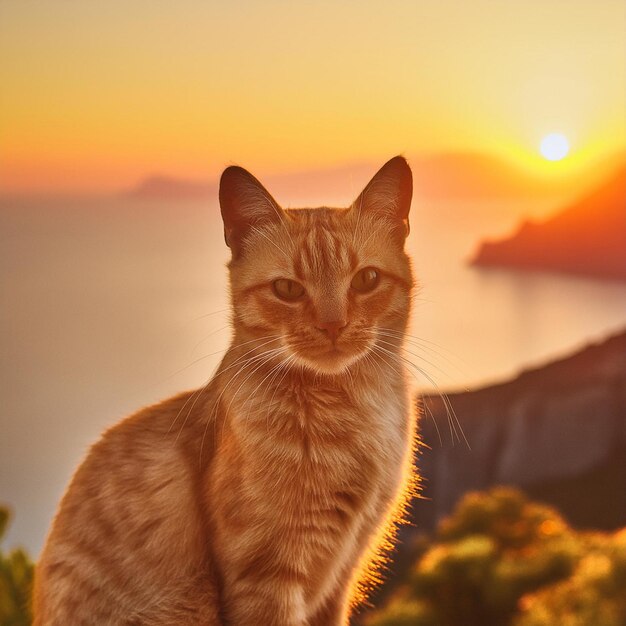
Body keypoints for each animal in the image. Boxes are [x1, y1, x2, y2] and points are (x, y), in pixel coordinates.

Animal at [31, 154, 416, 620]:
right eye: (287, 288)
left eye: (366, 280)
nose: (332, 325)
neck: (350, 409)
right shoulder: (263, 578)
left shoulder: (341, 577)